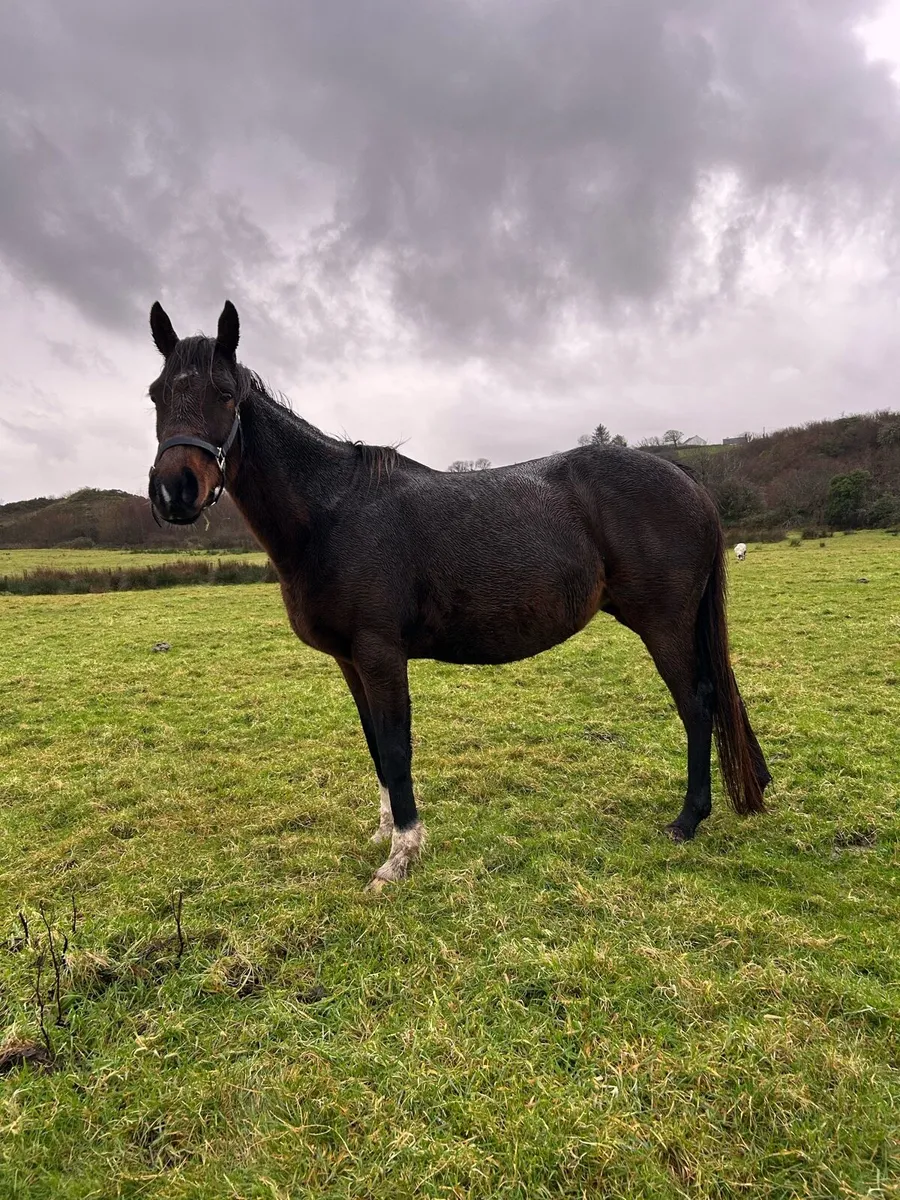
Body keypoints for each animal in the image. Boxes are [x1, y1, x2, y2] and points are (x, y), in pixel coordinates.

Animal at [145, 301, 771, 888]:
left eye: (225, 394)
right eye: (155, 396)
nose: (174, 491)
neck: (332, 514)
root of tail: (681, 473)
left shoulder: (380, 653)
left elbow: (396, 746)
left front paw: (402, 855)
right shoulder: (351, 661)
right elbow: (374, 743)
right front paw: (384, 833)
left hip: (664, 624)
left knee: (697, 704)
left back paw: (688, 819)